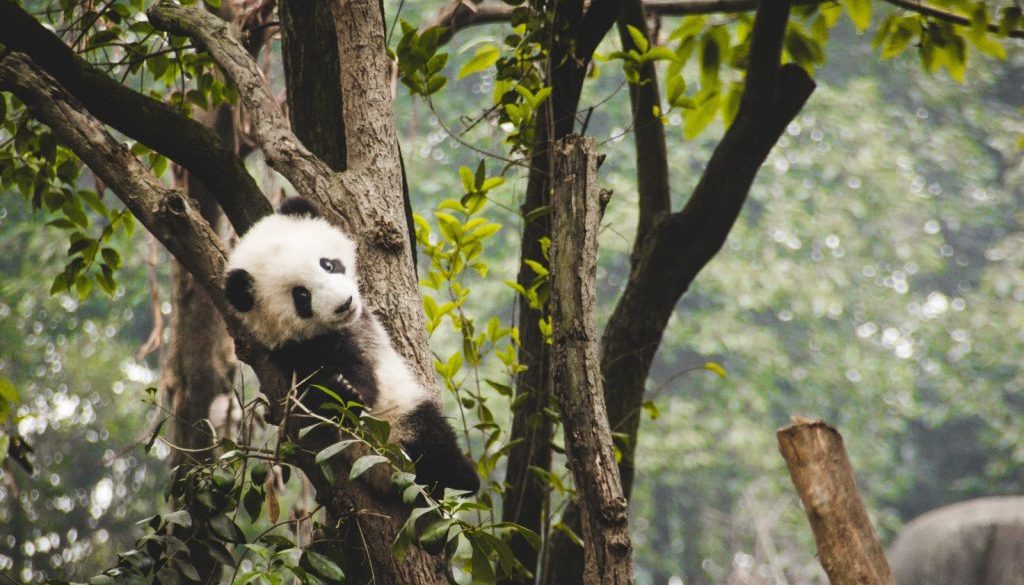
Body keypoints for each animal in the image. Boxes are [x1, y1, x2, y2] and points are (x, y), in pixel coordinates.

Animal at [224, 196, 479, 494]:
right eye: (301, 296)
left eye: (327, 264)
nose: (344, 304)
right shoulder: (296, 351)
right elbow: (331, 387)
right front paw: (343, 388)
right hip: (400, 421)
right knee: (434, 438)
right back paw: (464, 477)